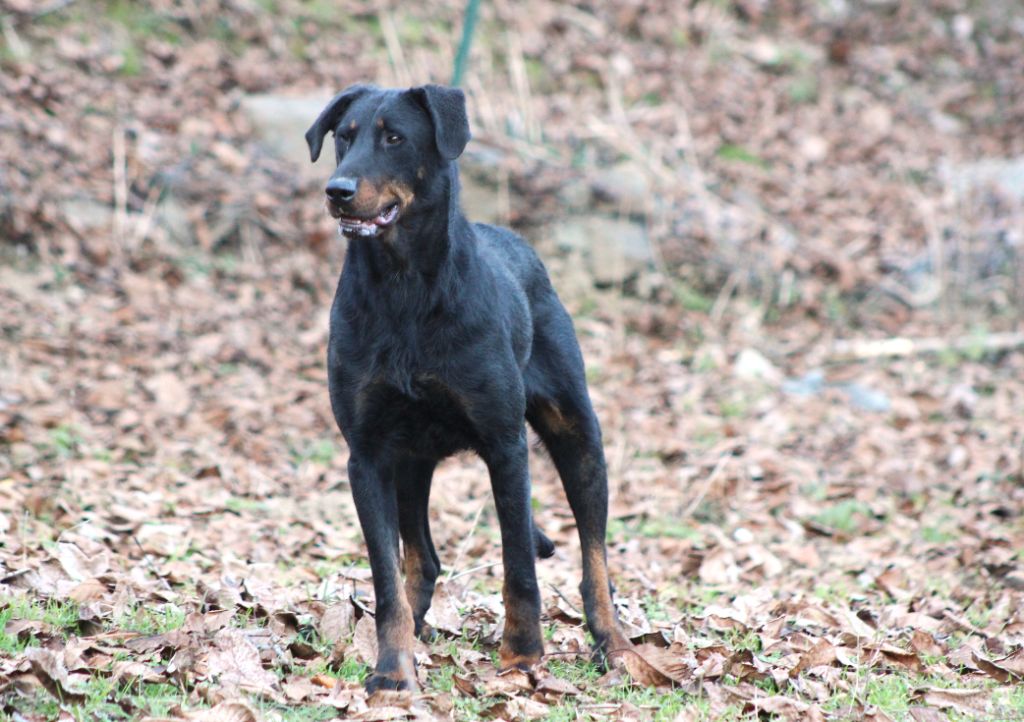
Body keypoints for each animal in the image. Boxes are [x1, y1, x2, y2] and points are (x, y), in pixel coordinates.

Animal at [305, 83, 631, 692]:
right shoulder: (368, 455)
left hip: (578, 435)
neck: (405, 286)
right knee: (421, 560)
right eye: (344, 136)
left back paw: (616, 644)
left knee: (594, 559)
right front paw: (393, 670)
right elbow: (386, 579)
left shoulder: (505, 445)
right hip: (410, 461)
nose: (337, 191)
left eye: (394, 137)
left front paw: (522, 657)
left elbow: (519, 565)